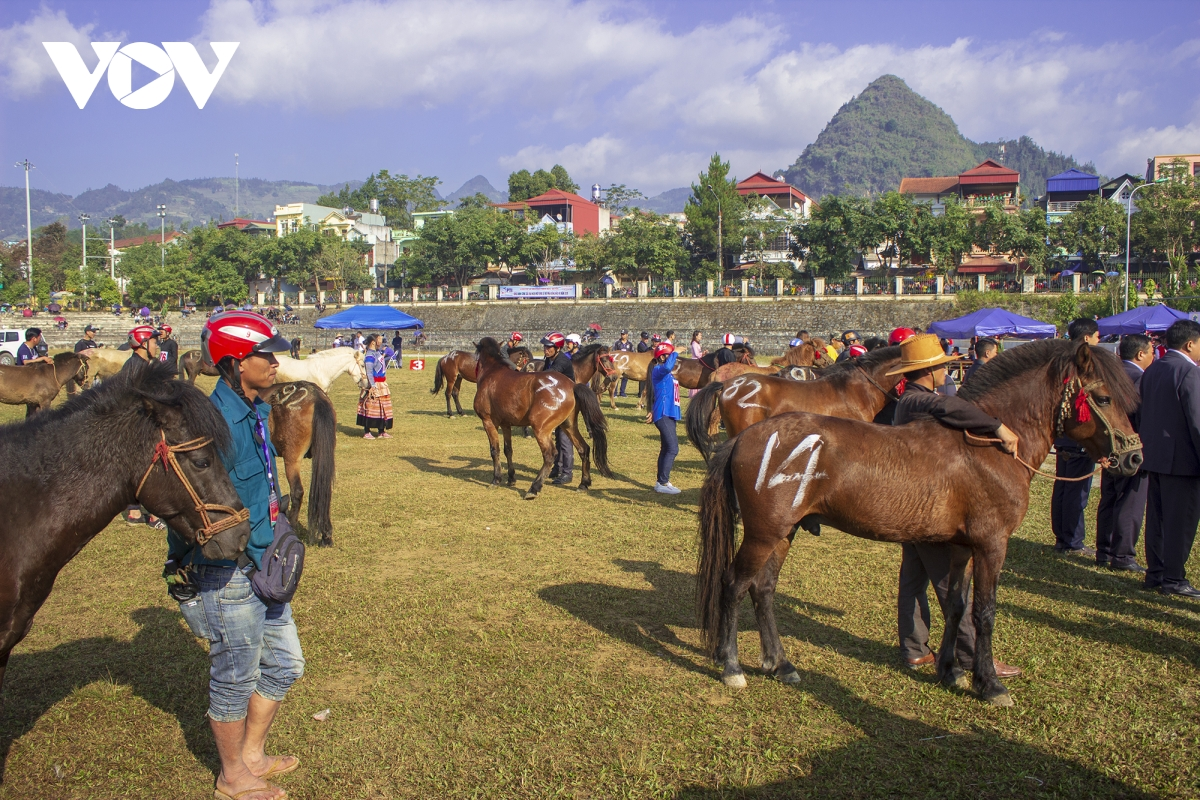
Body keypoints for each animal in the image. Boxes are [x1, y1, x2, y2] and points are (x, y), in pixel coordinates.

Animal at [472, 338, 614, 501]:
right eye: (604, 359)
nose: (613, 377)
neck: (492, 372)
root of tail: (572, 385)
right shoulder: (506, 424)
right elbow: (508, 450)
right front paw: (511, 478)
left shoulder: (488, 422)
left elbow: (495, 450)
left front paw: (496, 479)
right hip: (568, 425)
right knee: (583, 448)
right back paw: (583, 483)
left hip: (541, 429)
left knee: (550, 454)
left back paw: (534, 488)